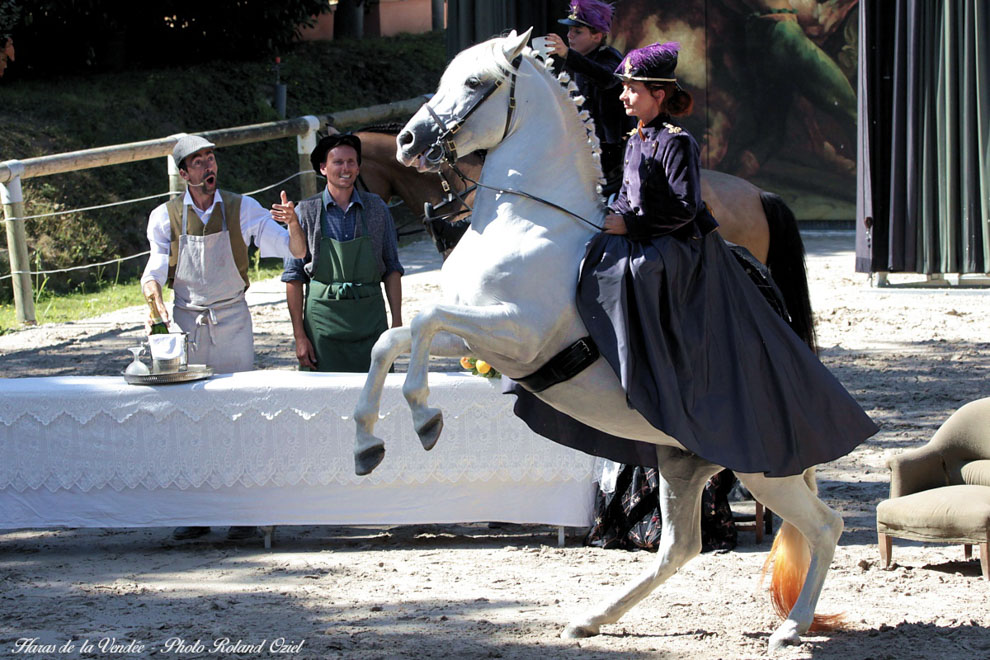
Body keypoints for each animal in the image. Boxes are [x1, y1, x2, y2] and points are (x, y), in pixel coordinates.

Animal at [354, 29, 844, 648]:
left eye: (473, 82)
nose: (408, 140)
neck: (530, 221)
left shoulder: (515, 334)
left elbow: (419, 323)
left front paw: (425, 419)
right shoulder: (477, 340)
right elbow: (393, 340)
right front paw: (366, 445)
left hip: (761, 467)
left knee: (824, 525)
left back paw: (792, 627)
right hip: (684, 461)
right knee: (679, 547)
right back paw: (591, 619)